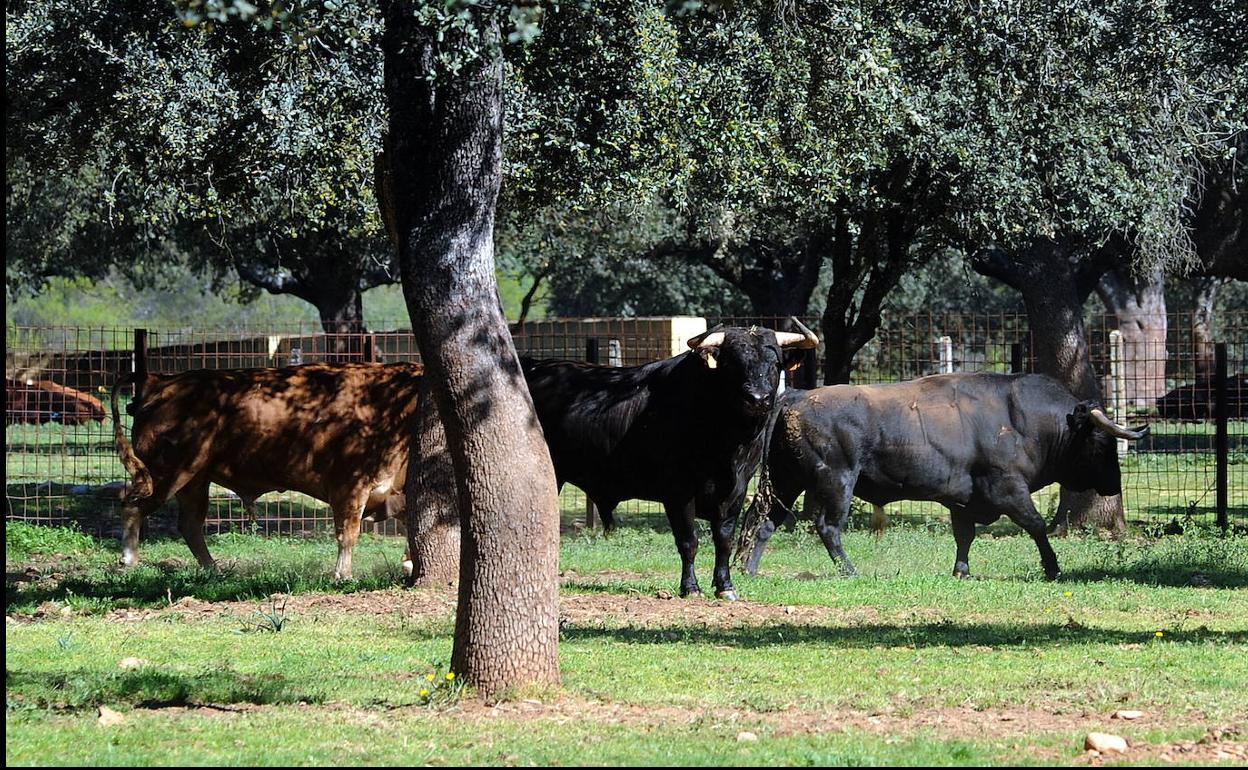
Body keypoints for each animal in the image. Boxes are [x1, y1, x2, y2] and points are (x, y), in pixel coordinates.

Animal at [112, 361, 424, 576]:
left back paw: (214, 569)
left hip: (195, 481)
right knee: (133, 505)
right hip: (168, 474)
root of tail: (163, 382)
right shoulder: (350, 485)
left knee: (189, 525)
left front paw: (408, 563)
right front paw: (342, 575)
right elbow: (347, 533)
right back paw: (129, 559)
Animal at [519, 321, 818, 596]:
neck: (727, 441)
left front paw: (725, 586)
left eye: (775, 363)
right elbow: (689, 541)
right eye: (732, 363)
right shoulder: (678, 492)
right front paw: (691, 587)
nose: (757, 397)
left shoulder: (736, 490)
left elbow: (724, 540)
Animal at [738, 371, 1148, 576]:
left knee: (764, 521)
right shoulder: (1007, 489)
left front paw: (961, 570)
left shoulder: (962, 501)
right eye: (1101, 442)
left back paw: (750, 569)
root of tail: (796, 396)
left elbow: (964, 537)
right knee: (827, 527)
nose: (1114, 484)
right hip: (836, 482)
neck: (1023, 419)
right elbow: (1035, 525)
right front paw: (1052, 567)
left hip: (787, 483)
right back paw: (850, 570)